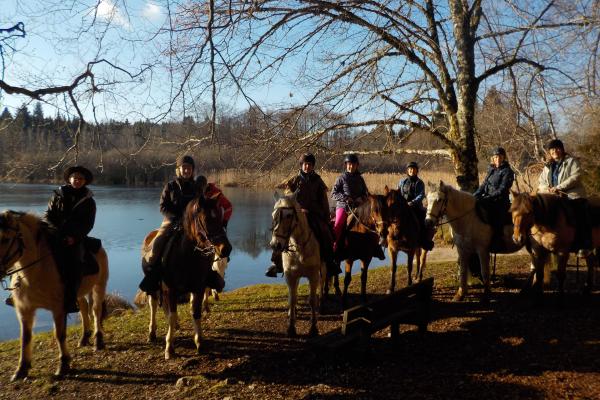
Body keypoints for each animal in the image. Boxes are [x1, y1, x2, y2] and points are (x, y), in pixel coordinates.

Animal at [0, 209, 108, 382]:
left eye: (6, 239)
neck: (35, 271)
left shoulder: (58, 308)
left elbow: (60, 334)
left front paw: (63, 365)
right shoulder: (24, 310)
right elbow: (25, 337)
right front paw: (22, 369)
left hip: (99, 286)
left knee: (96, 311)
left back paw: (98, 340)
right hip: (78, 293)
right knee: (84, 308)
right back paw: (84, 338)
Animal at [143, 195, 232, 360]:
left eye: (220, 216)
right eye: (206, 219)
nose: (226, 249)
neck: (186, 255)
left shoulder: (198, 288)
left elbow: (195, 312)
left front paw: (199, 343)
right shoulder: (170, 289)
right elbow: (171, 315)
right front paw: (169, 348)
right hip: (154, 287)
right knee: (154, 305)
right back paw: (152, 333)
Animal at [270, 195, 326, 336]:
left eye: (289, 215)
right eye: (273, 214)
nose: (275, 244)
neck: (299, 247)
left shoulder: (313, 275)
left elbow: (312, 300)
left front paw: (313, 328)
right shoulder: (290, 275)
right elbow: (292, 298)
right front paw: (291, 327)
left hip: (322, 269)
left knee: (322, 283)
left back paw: (322, 305)